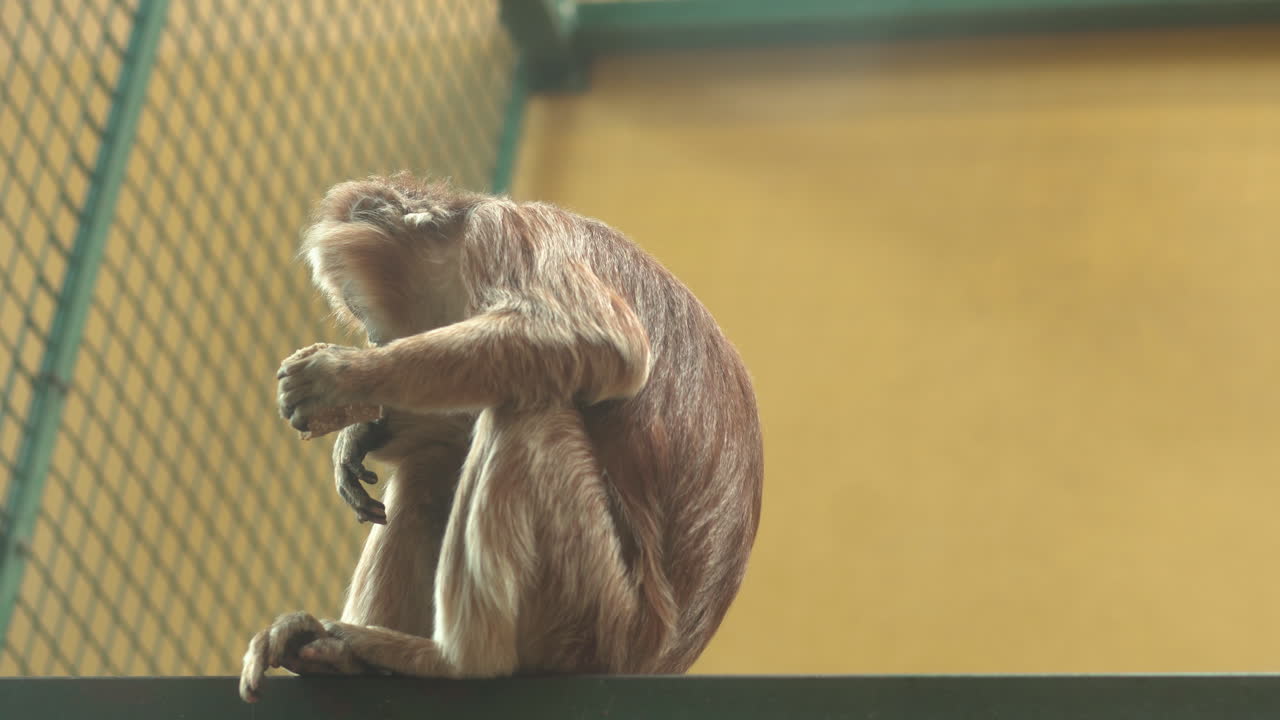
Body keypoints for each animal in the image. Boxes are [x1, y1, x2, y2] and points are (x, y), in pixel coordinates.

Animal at [239, 173, 763, 702]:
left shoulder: (501, 236)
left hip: (597, 615)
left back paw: (455, 661)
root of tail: (660, 658)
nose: (372, 336)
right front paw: (365, 429)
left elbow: (603, 342)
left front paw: (345, 376)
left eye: (354, 301)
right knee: (433, 464)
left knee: (528, 414)